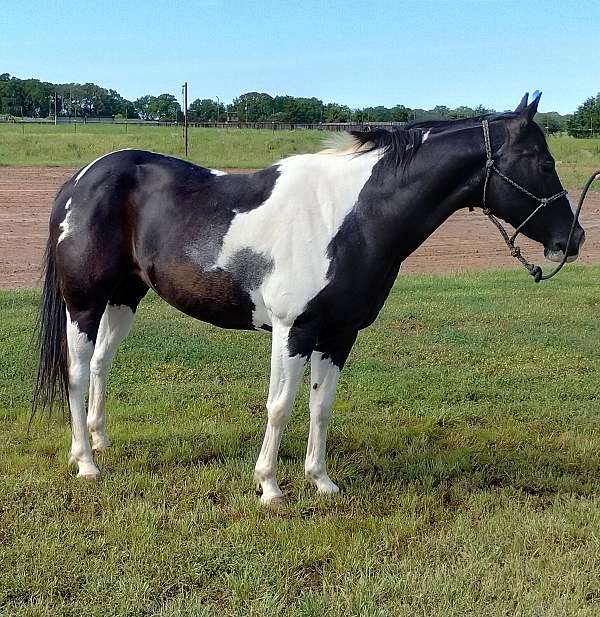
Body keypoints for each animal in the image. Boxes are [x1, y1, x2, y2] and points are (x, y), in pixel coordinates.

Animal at [35, 94, 584, 502]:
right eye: (542, 161)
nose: (574, 239)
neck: (351, 217)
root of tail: (81, 179)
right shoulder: (292, 331)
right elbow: (280, 405)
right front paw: (270, 488)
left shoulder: (339, 335)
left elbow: (321, 406)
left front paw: (321, 481)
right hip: (84, 303)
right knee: (77, 372)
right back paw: (86, 462)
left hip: (125, 297)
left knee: (102, 364)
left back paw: (100, 440)